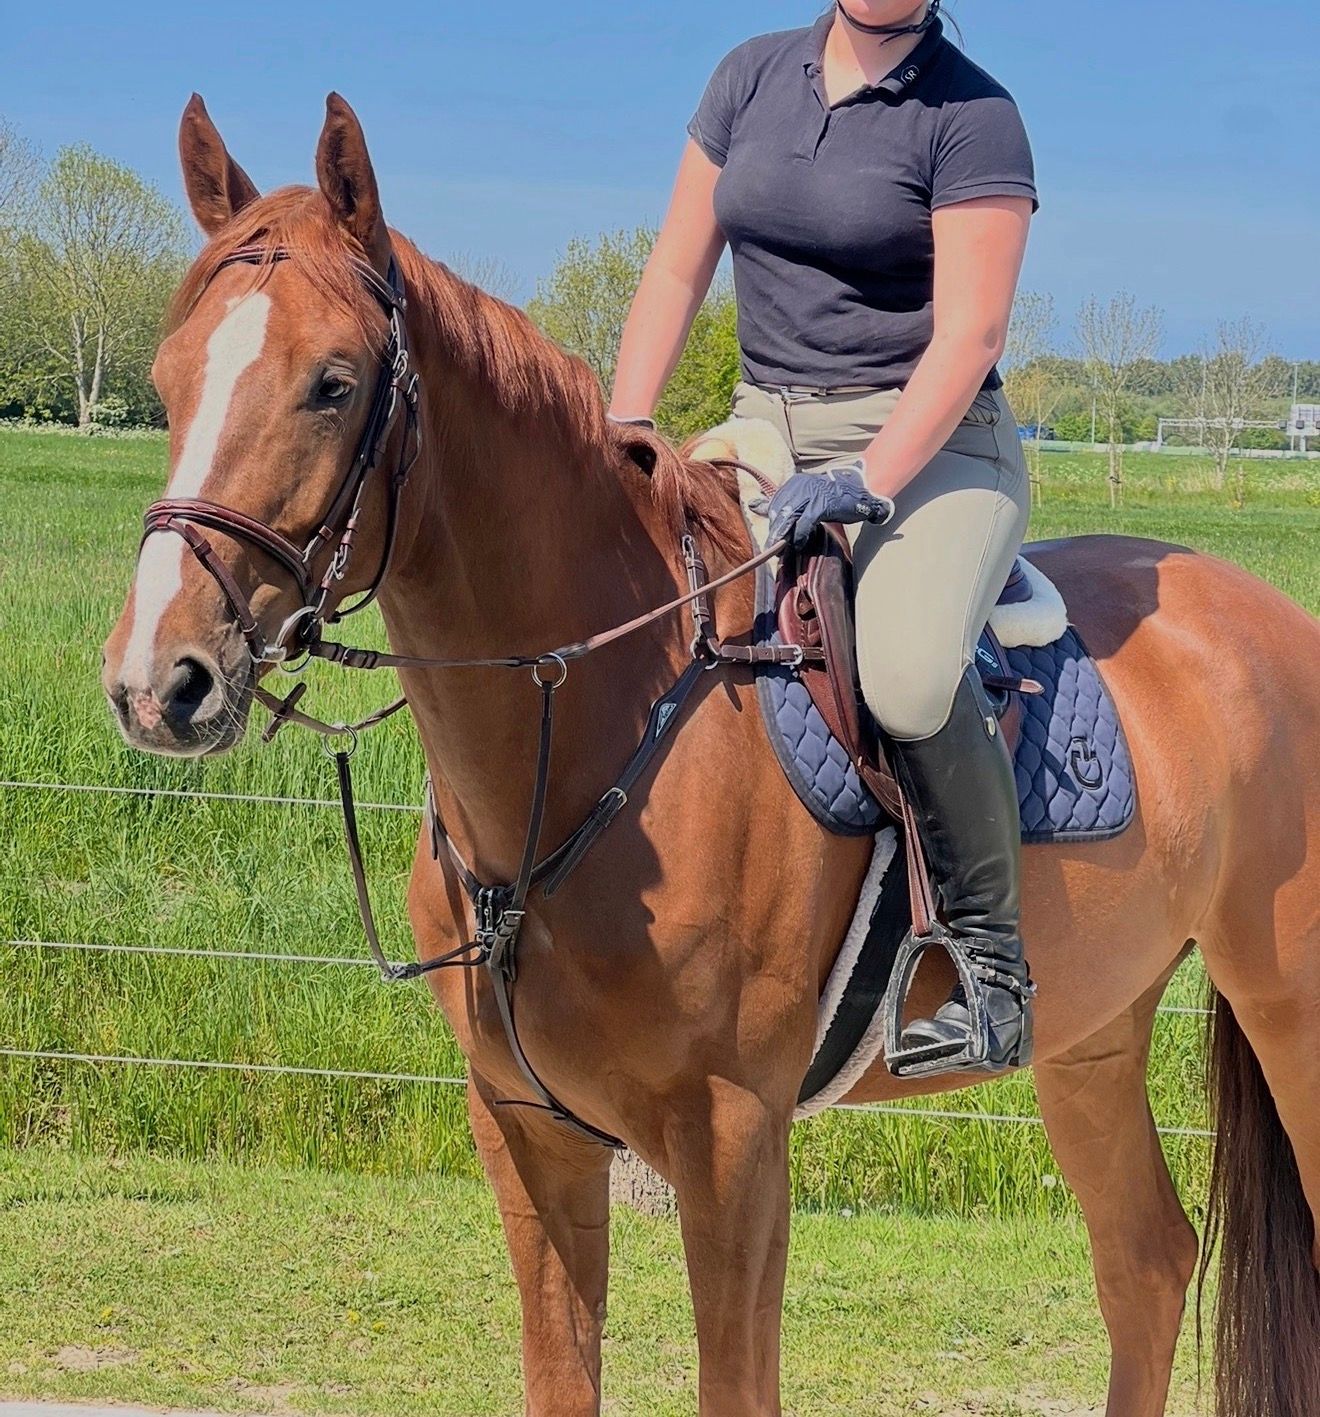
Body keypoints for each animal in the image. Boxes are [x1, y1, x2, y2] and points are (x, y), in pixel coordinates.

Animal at [100, 94, 1320, 1417]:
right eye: (166, 378)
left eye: (331, 384)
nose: (158, 682)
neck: (595, 738)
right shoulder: (525, 1128)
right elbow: (559, 1374)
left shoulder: (732, 1139)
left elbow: (737, 1378)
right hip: (1091, 1032)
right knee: (1146, 1262)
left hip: (1288, 1013)